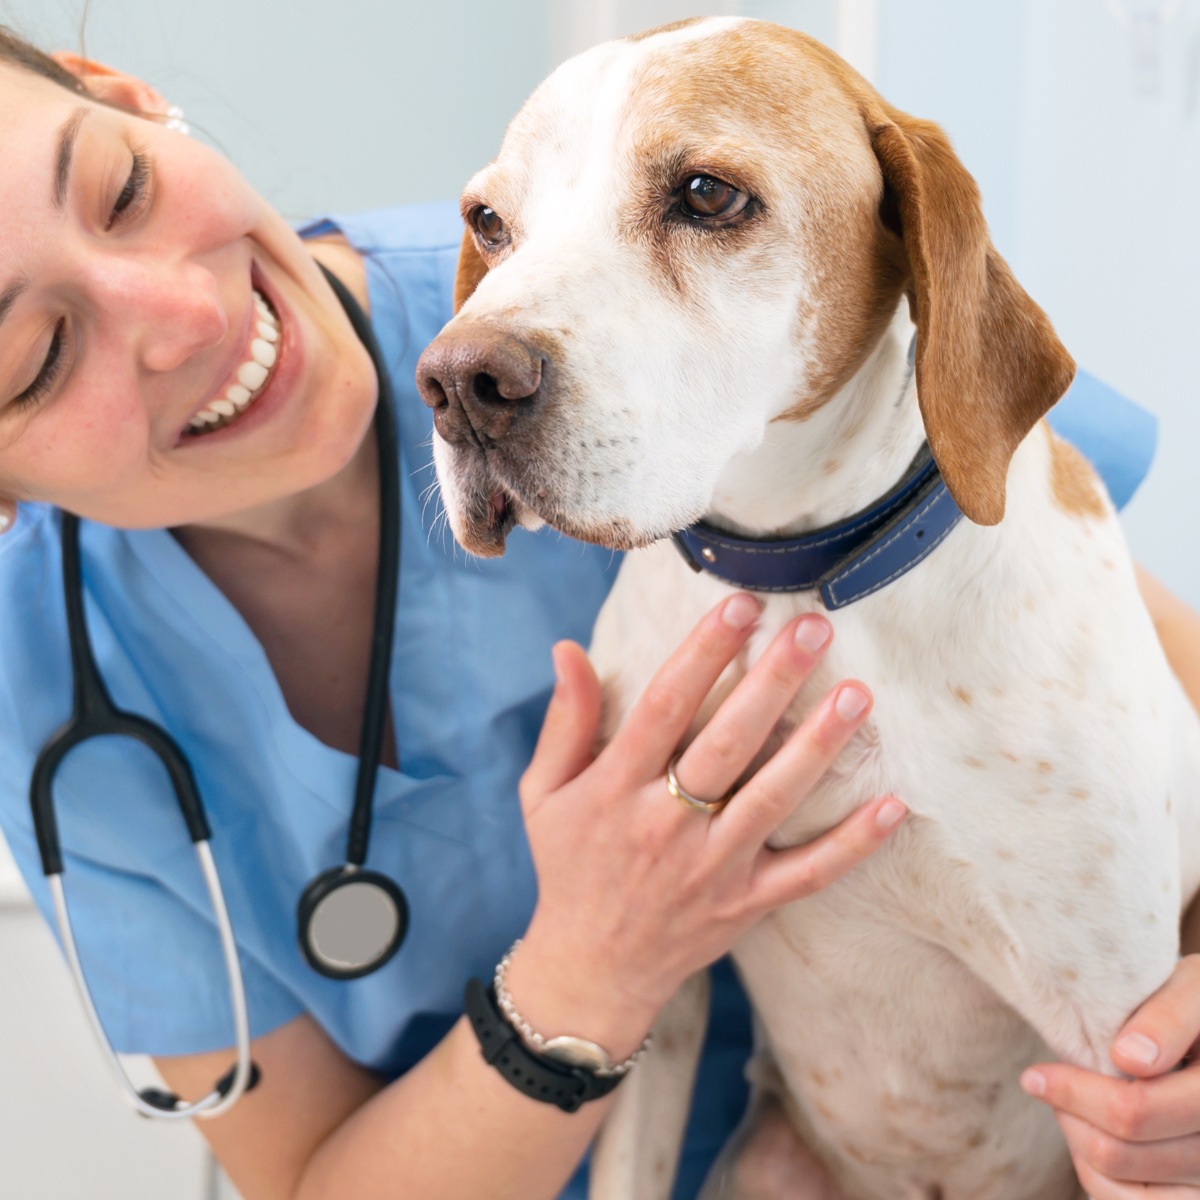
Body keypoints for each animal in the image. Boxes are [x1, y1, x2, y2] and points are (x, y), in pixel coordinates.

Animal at [417, 18, 1200, 1200]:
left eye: (706, 193)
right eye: (488, 222)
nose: (459, 383)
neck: (796, 581)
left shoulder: (1121, 1065)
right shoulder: (654, 988)